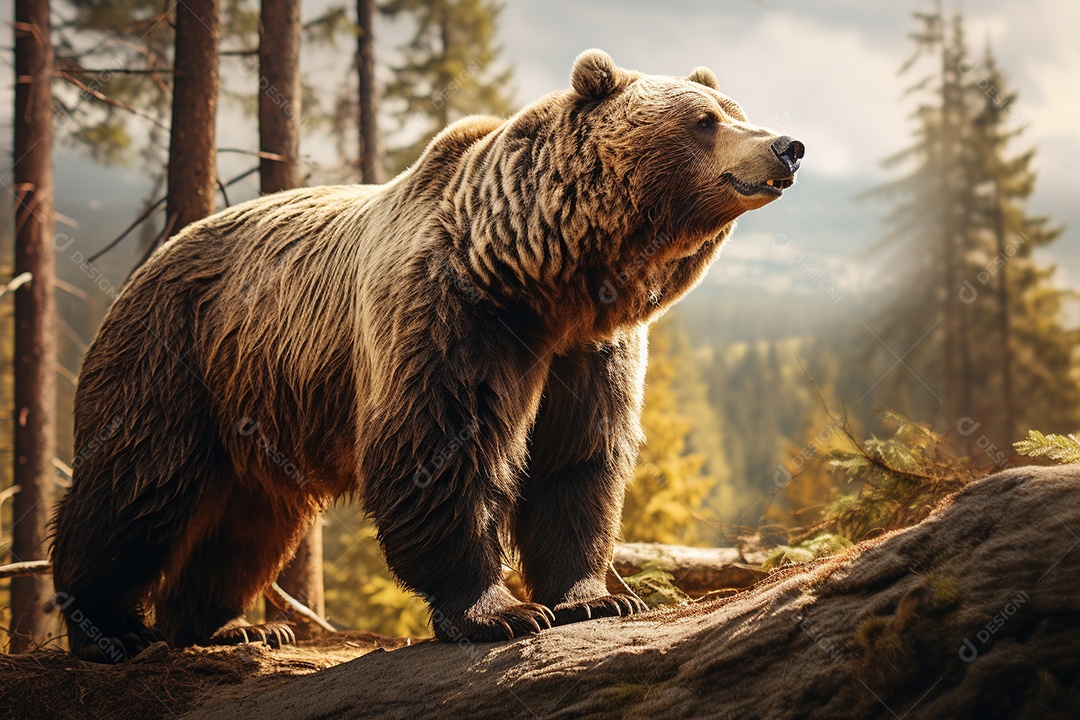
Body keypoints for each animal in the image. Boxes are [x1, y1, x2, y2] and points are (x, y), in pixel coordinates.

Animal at [49, 49, 803, 662]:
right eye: (705, 120)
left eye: (735, 111)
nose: (788, 145)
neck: (540, 273)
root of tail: (154, 255)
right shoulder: (452, 316)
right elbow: (442, 449)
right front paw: (500, 612)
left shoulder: (587, 351)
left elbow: (578, 461)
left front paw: (598, 596)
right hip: (177, 356)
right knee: (138, 485)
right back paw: (111, 628)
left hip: (256, 409)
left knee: (249, 525)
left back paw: (237, 627)